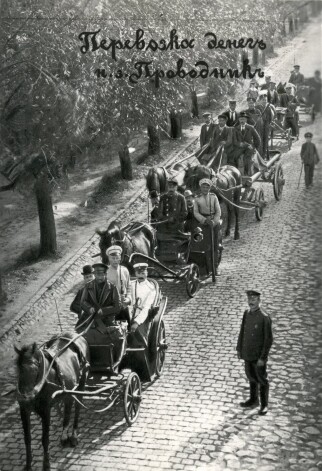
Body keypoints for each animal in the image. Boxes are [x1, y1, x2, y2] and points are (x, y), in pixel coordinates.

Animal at [15, 334, 89, 470]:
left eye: (35, 368)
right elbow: (27, 438)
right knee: (68, 409)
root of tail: (77, 336)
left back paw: (74, 436)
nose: (25, 397)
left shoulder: (46, 412)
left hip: (82, 383)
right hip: (68, 390)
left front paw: (46, 465)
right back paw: (64, 436)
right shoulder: (24, 410)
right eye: (19, 369)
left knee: (77, 409)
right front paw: (28, 465)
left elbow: (45, 439)